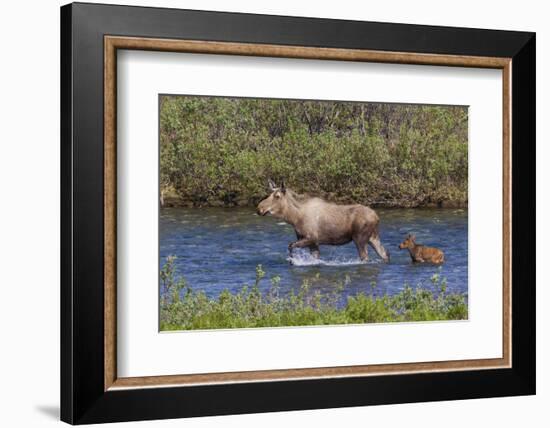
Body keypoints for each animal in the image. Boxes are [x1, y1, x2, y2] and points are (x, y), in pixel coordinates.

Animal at [258, 180, 390, 262]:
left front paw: (293, 260)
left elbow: (290, 246)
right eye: (269, 194)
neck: (294, 218)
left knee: (366, 257)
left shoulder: (311, 238)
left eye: (277, 196)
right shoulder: (312, 243)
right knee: (385, 254)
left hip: (360, 239)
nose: (259, 208)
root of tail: (377, 217)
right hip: (373, 237)